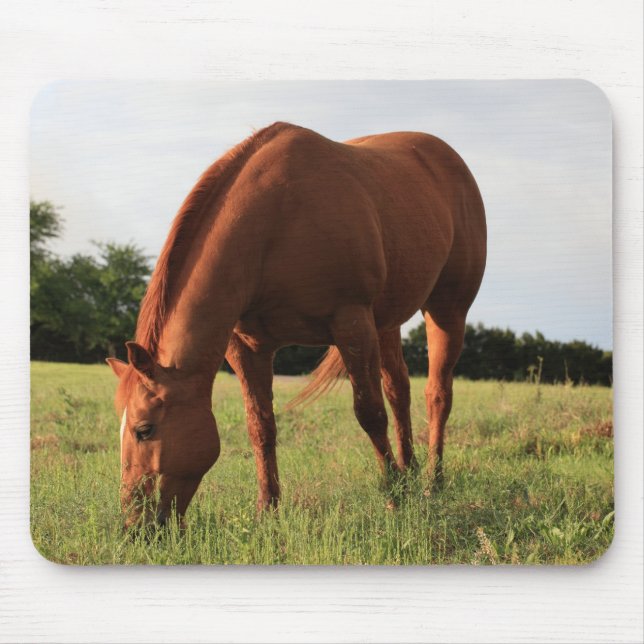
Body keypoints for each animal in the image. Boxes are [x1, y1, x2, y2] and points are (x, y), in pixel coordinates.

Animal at [106, 122, 486, 528]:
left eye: (144, 430)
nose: (133, 526)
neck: (275, 224)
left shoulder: (352, 323)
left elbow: (369, 413)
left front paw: (393, 496)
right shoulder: (247, 347)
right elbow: (260, 426)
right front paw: (267, 508)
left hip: (446, 311)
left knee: (437, 394)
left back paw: (432, 482)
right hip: (387, 321)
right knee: (399, 390)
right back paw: (411, 470)